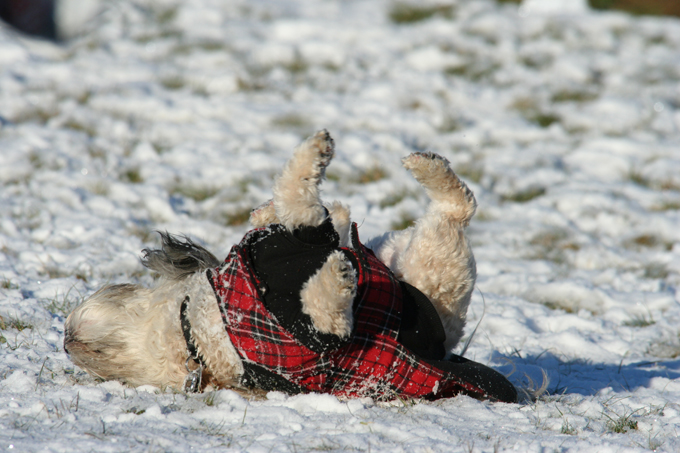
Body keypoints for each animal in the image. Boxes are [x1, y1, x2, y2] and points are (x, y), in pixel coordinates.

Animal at [65, 129, 516, 400]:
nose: (67, 338)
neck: (202, 326)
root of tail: (446, 339)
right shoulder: (315, 345)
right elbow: (330, 317)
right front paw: (338, 278)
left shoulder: (285, 244)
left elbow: (299, 206)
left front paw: (313, 161)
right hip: (437, 257)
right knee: (457, 208)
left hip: (389, 248)